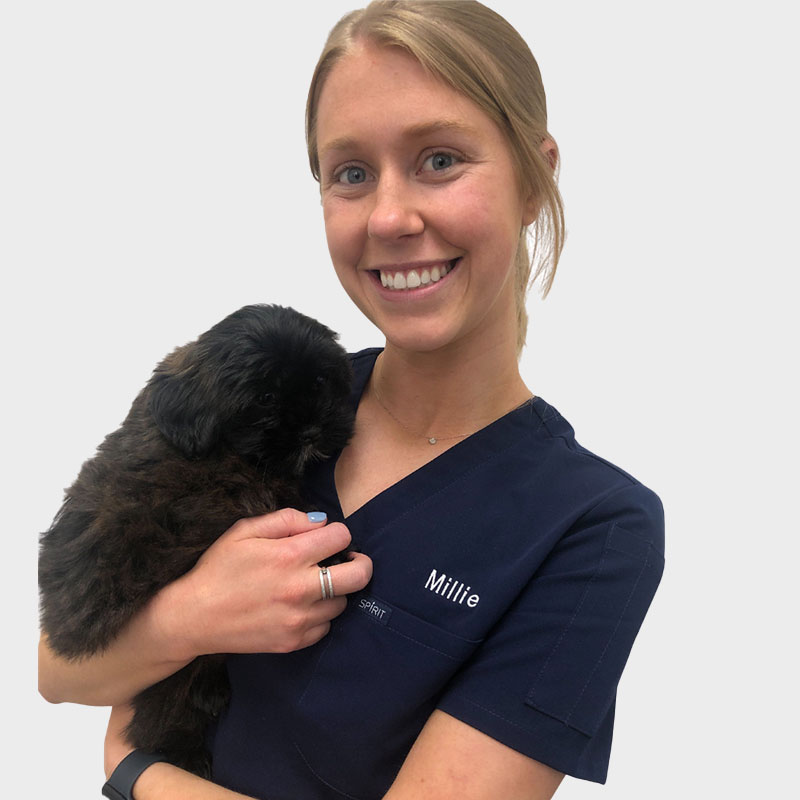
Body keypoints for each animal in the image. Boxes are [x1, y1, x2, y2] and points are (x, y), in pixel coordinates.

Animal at [39, 304, 354, 776]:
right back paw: (181, 749)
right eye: (265, 398)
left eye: (320, 382)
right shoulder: (200, 495)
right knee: (160, 714)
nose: (313, 431)